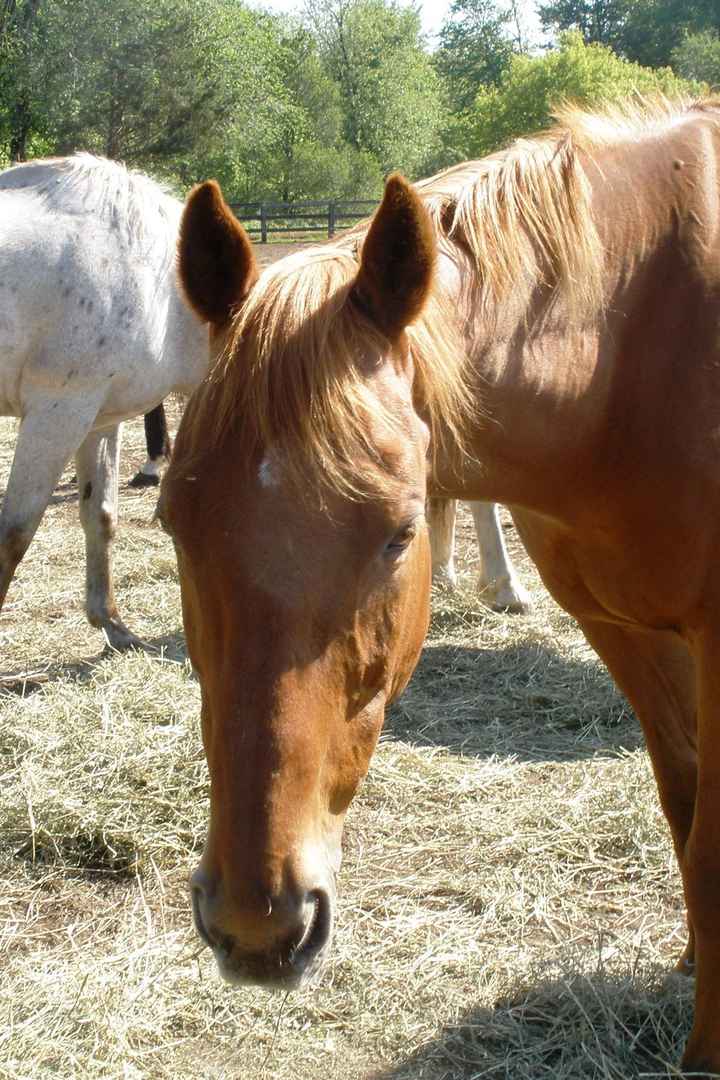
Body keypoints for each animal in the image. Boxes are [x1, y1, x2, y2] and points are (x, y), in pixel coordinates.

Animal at [160, 98, 720, 1071]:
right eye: (172, 523)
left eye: (400, 533)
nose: (258, 925)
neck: (636, 352)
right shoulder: (628, 632)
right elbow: (685, 814)